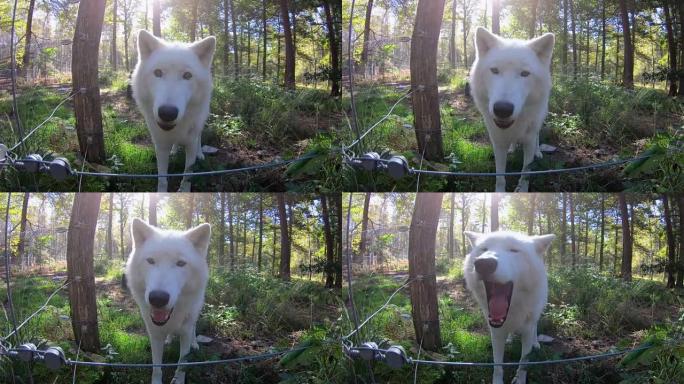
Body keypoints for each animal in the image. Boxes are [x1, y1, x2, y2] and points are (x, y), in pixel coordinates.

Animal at [125, 218, 211, 382]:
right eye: (150, 261)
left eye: (181, 263)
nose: (158, 298)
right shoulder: (154, 335)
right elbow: (156, 368)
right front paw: (156, 381)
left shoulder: (185, 333)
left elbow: (182, 364)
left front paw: (178, 380)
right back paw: (169, 338)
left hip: (195, 312)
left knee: (194, 327)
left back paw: (195, 343)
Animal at [132, 30, 218, 192]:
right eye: (158, 73)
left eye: (187, 75)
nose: (167, 113)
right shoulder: (160, 146)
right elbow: (162, 178)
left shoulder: (190, 144)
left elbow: (187, 174)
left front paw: (184, 191)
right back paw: (174, 150)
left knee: (199, 137)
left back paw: (200, 154)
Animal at [464, 231, 556, 384]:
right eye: (484, 249)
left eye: (514, 250)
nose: (483, 263)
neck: (513, 311)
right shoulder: (495, 333)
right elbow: (497, 365)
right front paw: (497, 381)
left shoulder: (527, 331)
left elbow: (523, 363)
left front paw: (519, 380)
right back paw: (509, 339)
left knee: (535, 327)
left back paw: (536, 343)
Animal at [470, 27, 556, 192]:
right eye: (494, 70)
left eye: (525, 73)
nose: (502, 109)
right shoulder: (497, 142)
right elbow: (500, 177)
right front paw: (499, 192)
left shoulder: (528, 141)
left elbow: (525, 173)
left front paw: (522, 191)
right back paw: (512, 148)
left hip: (539, 121)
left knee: (537, 136)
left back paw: (538, 152)